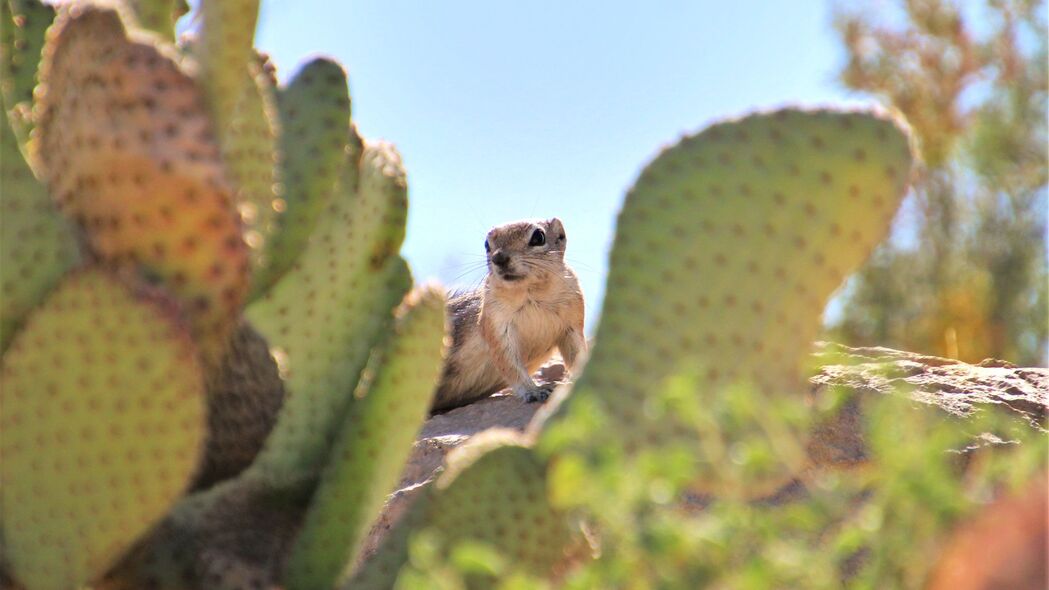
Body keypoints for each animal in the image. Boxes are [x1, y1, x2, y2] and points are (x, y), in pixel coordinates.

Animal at [430, 218, 587, 411]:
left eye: (538, 237)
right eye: (486, 244)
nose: (499, 257)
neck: (532, 293)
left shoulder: (572, 323)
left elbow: (577, 353)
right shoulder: (495, 324)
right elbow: (510, 364)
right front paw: (534, 391)